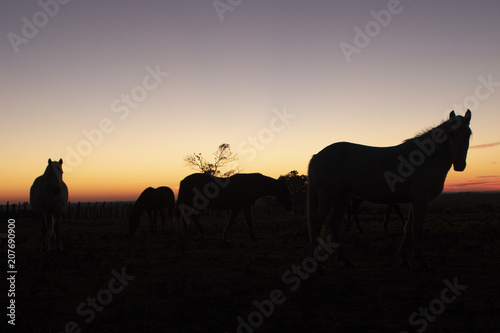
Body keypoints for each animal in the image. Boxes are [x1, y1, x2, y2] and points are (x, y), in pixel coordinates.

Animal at [308, 110, 472, 268]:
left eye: (469, 133)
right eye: (451, 134)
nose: (459, 165)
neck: (426, 158)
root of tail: (317, 156)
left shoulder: (415, 201)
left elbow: (408, 227)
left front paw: (404, 259)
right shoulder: (421, 200)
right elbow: (417, 228)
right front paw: (421, 261)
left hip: (341, 198)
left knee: (334, 224)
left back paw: (347, 261)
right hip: (328, 198)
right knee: (317, 222)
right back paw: (319, 265)